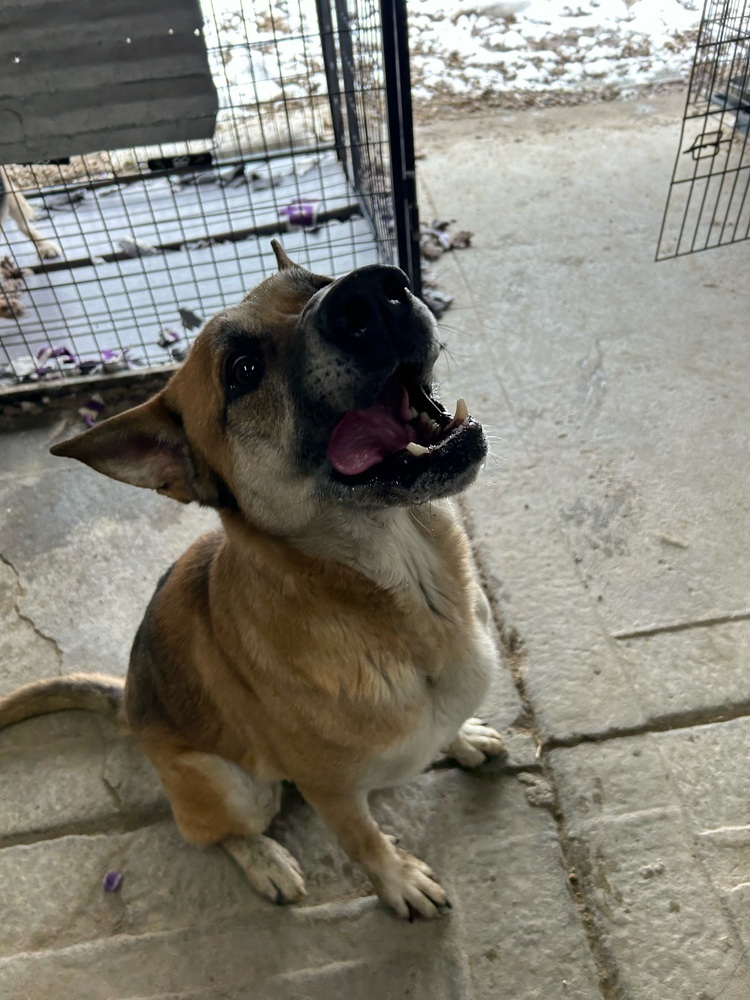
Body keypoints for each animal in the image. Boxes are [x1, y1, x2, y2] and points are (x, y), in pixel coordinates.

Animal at [1, 244, 506, 920]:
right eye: (242, 371)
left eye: (318, 280)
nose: (376, 291)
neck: (407, 591)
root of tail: (131, 703)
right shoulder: (331, 792)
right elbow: (365, 840)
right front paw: (397, 879)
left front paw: (460, 737)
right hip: (235, 786)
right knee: (210, 831)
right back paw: (265, 861)